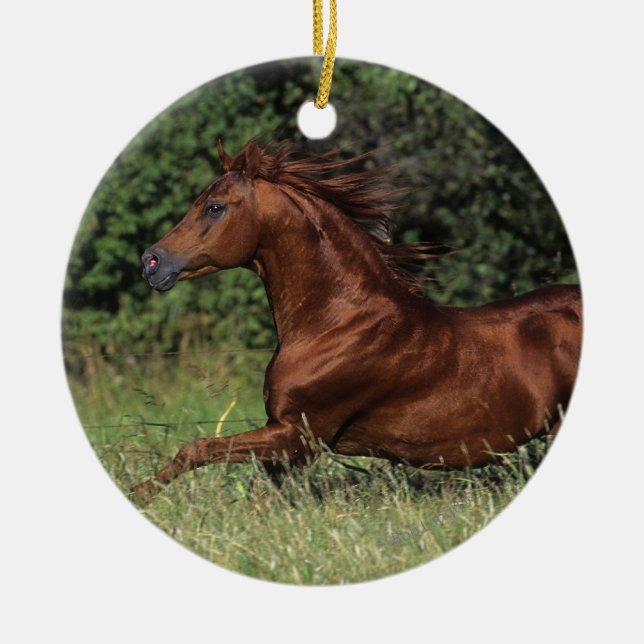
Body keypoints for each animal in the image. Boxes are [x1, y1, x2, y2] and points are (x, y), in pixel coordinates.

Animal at [132, 138, 582, 500]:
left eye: (214, 207)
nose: (151, 262)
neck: (338, 323)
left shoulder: (300, 435)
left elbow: (197, 448)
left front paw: (141, 493)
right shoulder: (285, 438)